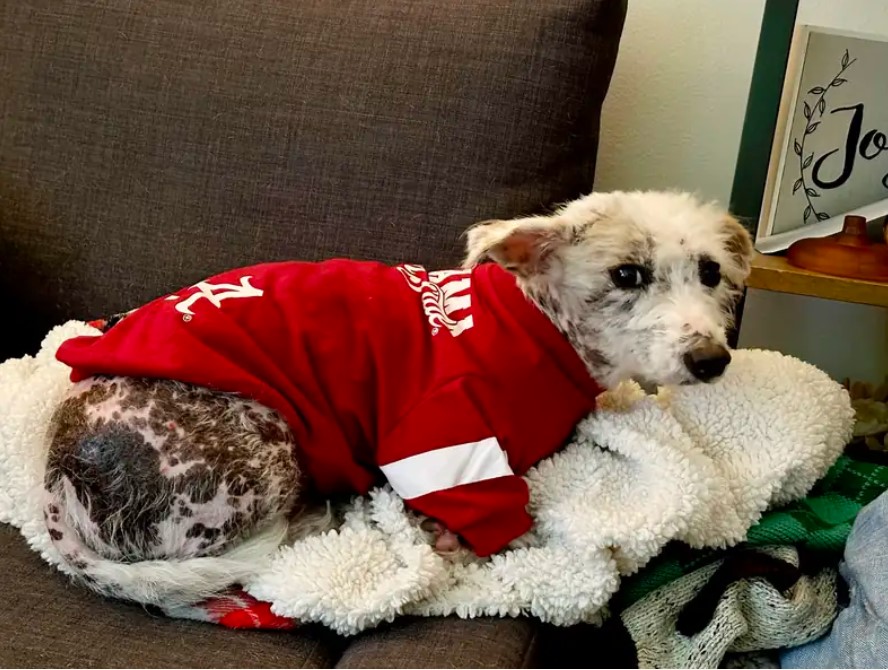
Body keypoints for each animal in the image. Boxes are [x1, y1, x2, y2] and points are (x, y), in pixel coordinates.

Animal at [40, 189, 748, 608]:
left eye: (711, 272)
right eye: (627, 274)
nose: (712, 361)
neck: (540, 329)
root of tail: (54, 480)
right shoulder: (441, 440)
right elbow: (508, 523)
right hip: (267, 445)